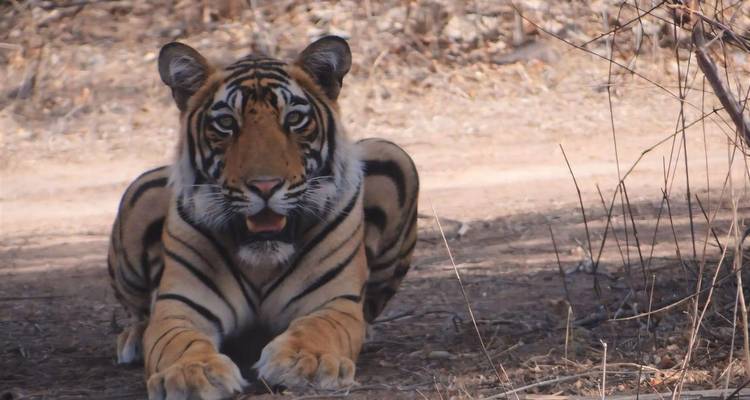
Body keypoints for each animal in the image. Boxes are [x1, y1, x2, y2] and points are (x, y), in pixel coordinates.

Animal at [107, 36, 419, 400]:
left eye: (294, 118)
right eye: (226, 123)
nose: (265, 186)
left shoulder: (332, 302)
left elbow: (316, 329)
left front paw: (306, 362)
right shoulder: (180, 307)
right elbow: (177, 342)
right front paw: (191, 373)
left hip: (393, 156)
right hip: (138, 197)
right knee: (139, 312)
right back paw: (133, 340)